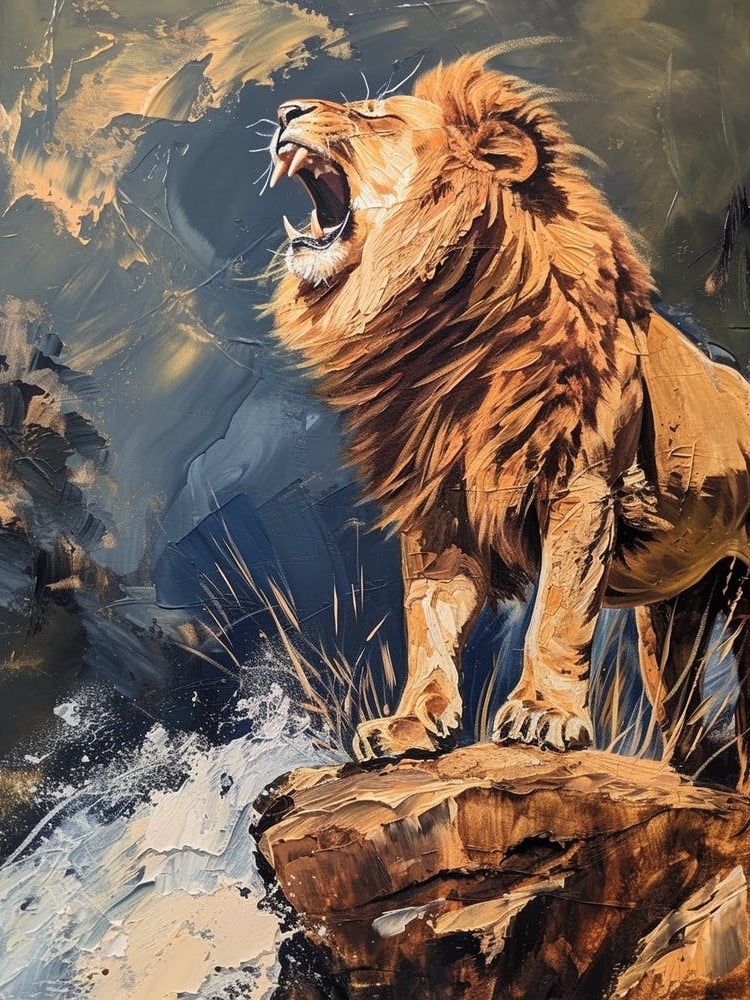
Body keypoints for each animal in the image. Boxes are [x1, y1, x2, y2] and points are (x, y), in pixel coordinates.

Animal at [268, 50, 750, 791]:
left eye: (374, 115)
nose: (285, 111)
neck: (444, 331)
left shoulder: (581, 486)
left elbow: (556, 610)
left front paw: (543, 716)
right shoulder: (439, 507)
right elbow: (428, 626)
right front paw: (413, 727)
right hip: (675, 620)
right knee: (685, 719)